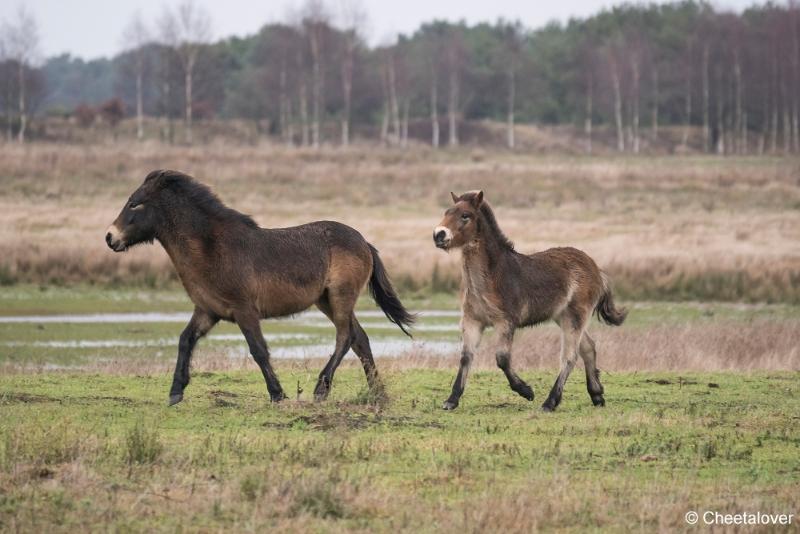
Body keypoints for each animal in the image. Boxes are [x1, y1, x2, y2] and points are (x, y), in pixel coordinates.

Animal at [107, 171, 416, 406]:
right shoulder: (207, 311)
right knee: (359, 339)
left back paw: (321, 390)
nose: (110, 237)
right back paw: (377, 393)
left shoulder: (244, 310)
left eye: (134, 204)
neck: (212, 249)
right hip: (326, 300)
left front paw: (277, 394)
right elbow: (185, 340)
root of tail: (364, 242)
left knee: (346, 336)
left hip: (340, 297)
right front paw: (175, 392)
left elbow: (258, 349)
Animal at [434, 193, 628, 414]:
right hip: (563, 316)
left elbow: (502, 359)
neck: (493, 276)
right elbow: (466, 356)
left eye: (465, 215)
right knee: (588, 347)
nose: (438, 235)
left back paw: (549, 402)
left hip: (575, 316)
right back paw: (597, 395)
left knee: (569, 357)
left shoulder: (506, 322)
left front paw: (526, 391)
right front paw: (451, 399)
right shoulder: (472, 321)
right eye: (447, 212)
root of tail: (596, 269)